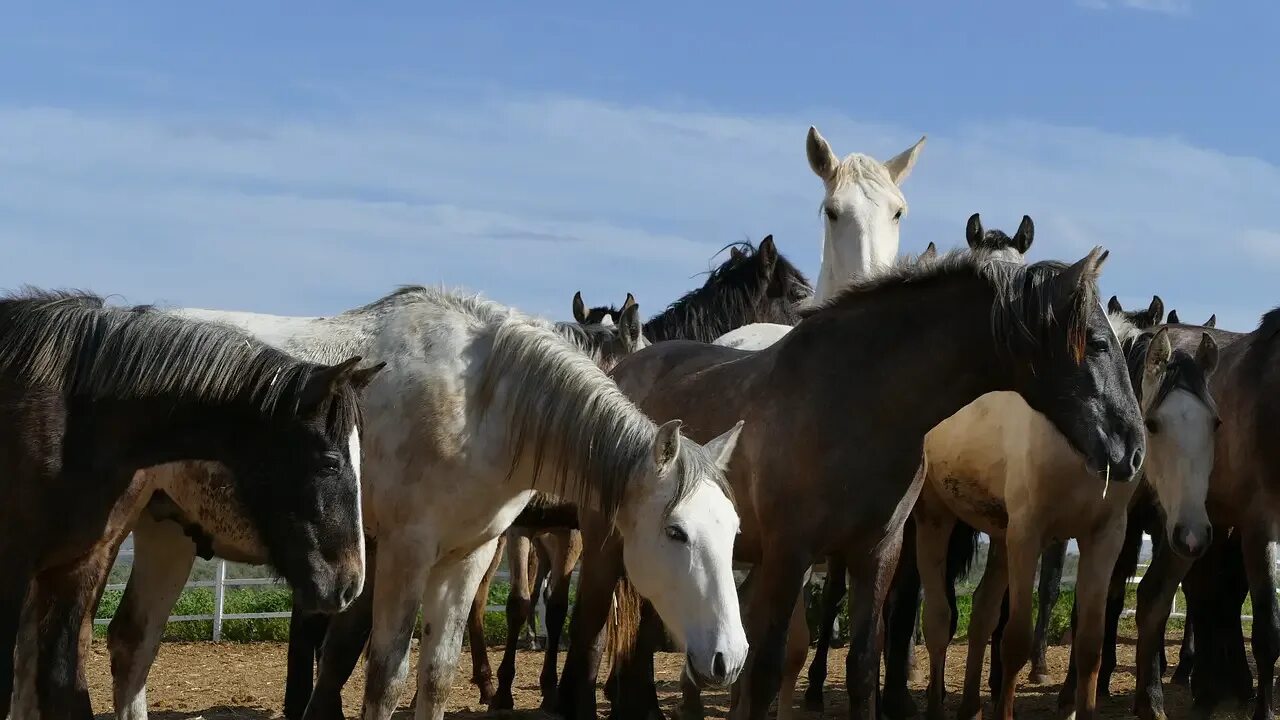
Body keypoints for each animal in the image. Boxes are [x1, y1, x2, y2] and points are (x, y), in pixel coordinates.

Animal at [67, 285, 747, 717]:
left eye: (733, 531)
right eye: (676, 532)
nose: (729, 658)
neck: (481, 401)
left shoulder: (470, 554)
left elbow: (436, 678)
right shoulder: (403, 552)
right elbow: (383, 679)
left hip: (171, 529)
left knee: (132, 644)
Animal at [565, 248, 1146, 717]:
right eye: (1097, 342)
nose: (1133, 446)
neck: (858, 402)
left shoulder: (877, 553)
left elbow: (865, 667)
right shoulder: (790, 555)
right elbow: (766, 667)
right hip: (604, 548)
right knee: (589, 637)